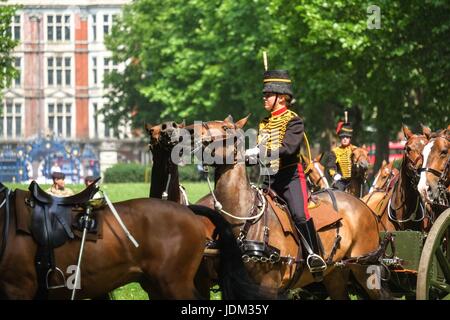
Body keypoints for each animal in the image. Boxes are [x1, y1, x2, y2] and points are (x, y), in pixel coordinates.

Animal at [185, 115, 392, 300]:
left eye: (226, 128)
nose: (191, 130)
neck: (243, 219)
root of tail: (364, 205)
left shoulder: (268, 285)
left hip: (364, 267)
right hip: (336, 273)